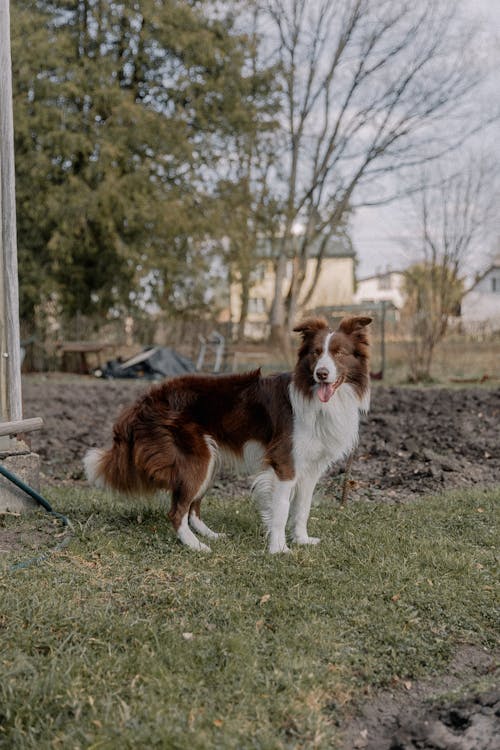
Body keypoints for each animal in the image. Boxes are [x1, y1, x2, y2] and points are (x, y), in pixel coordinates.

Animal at [84, 314, 372, 556]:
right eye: (316, 353)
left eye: (339, 353)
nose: (321, 374)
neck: (315, 395)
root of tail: (142, 402)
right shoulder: (284, 464)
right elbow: (281, 509)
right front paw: (279, 549)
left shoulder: (311, 468)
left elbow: (303, 508)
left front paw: (302, 540)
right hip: (196, 460)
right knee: (177, 511)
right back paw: (196, 546)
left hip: (210, 460)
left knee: (192, 508)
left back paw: (210, 535)